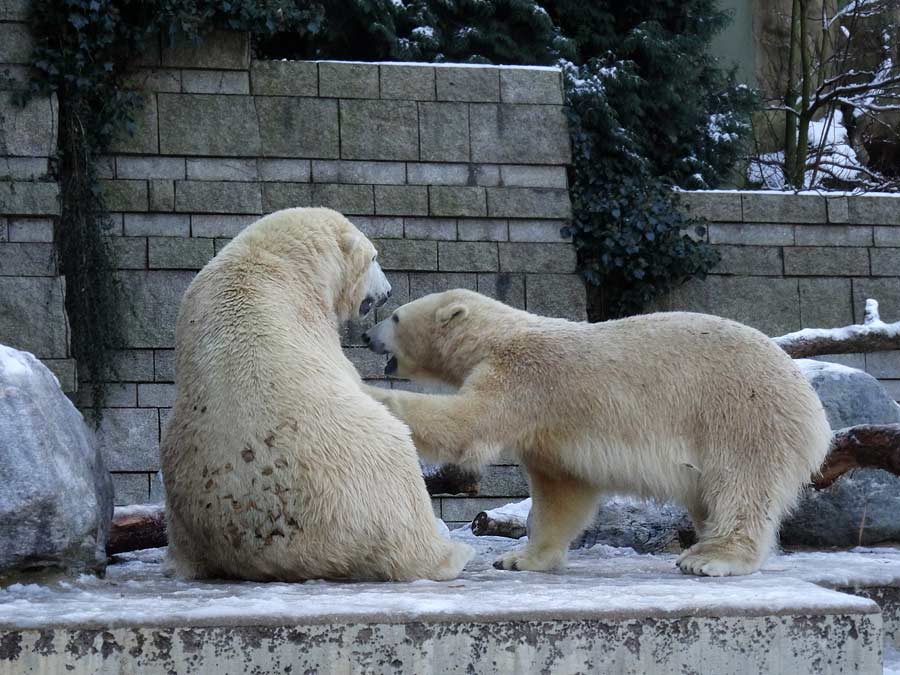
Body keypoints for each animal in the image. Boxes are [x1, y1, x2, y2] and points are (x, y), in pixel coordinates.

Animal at [159, 209, 474, 584]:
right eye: (374, 257)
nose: (388, 290)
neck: (280, 260)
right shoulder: (309, 316)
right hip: (371, 475)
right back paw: (452, 552)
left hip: (180, 482)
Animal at [364, 288, 828, 580]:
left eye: (395, 316)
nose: (367, 335)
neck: (499, 335)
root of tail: (815, 413)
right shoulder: (551, 430)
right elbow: (561, 493)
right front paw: (521, 558)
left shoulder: (527, 377)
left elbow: (467, 422)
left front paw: (371, 393)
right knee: (711, 496)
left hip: (743, 416)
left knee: (740, 487)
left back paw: (712, 558)